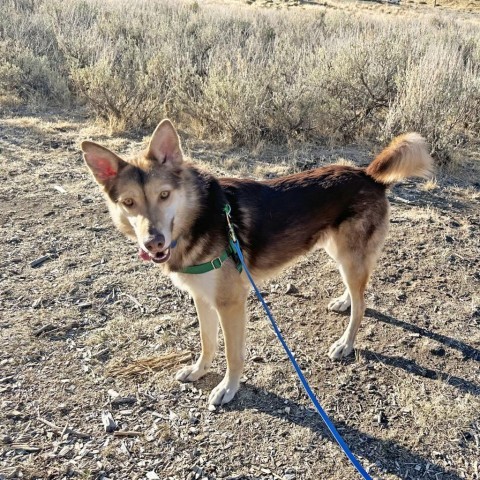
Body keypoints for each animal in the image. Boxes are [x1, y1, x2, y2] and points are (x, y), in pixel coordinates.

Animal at [83, 119, 436, 404]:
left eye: (164, 195)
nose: (153, 242)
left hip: (349, 256)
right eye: (129, 202)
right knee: (357, 292)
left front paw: (228, 388)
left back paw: (345, 343)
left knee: (363, 304)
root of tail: (367, 175)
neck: (199, 218)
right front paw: (198, 370)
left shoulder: (230, 304)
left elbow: (232, 354)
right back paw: (344, 300)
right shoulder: (202, 299)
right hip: (339, 253)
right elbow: (207, 343)